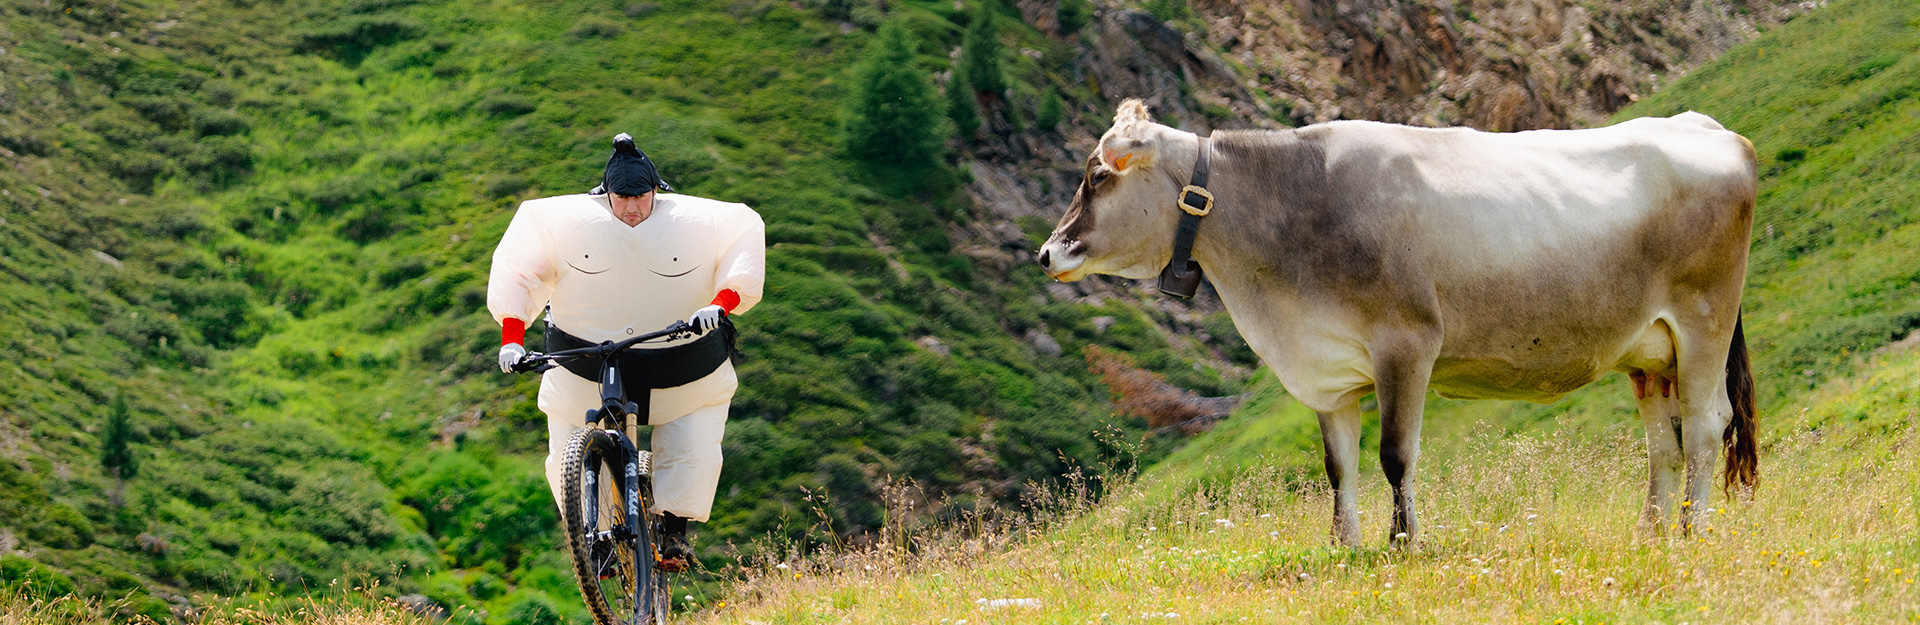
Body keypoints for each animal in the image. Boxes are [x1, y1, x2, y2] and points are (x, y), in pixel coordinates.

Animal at [1038, 99, 1758, 546]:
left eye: (1097, 177)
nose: (1047, 253)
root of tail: (1712, 128)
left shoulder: (1407, 343)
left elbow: (1394, 454)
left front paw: (1403, 541)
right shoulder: (1326, 365)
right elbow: (1338, 465)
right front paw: (1343, 545)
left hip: (1704, 320)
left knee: (1704, 429)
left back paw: (1692, 533)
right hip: (1648, 351)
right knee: (1663, 443)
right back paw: (1649, 534)